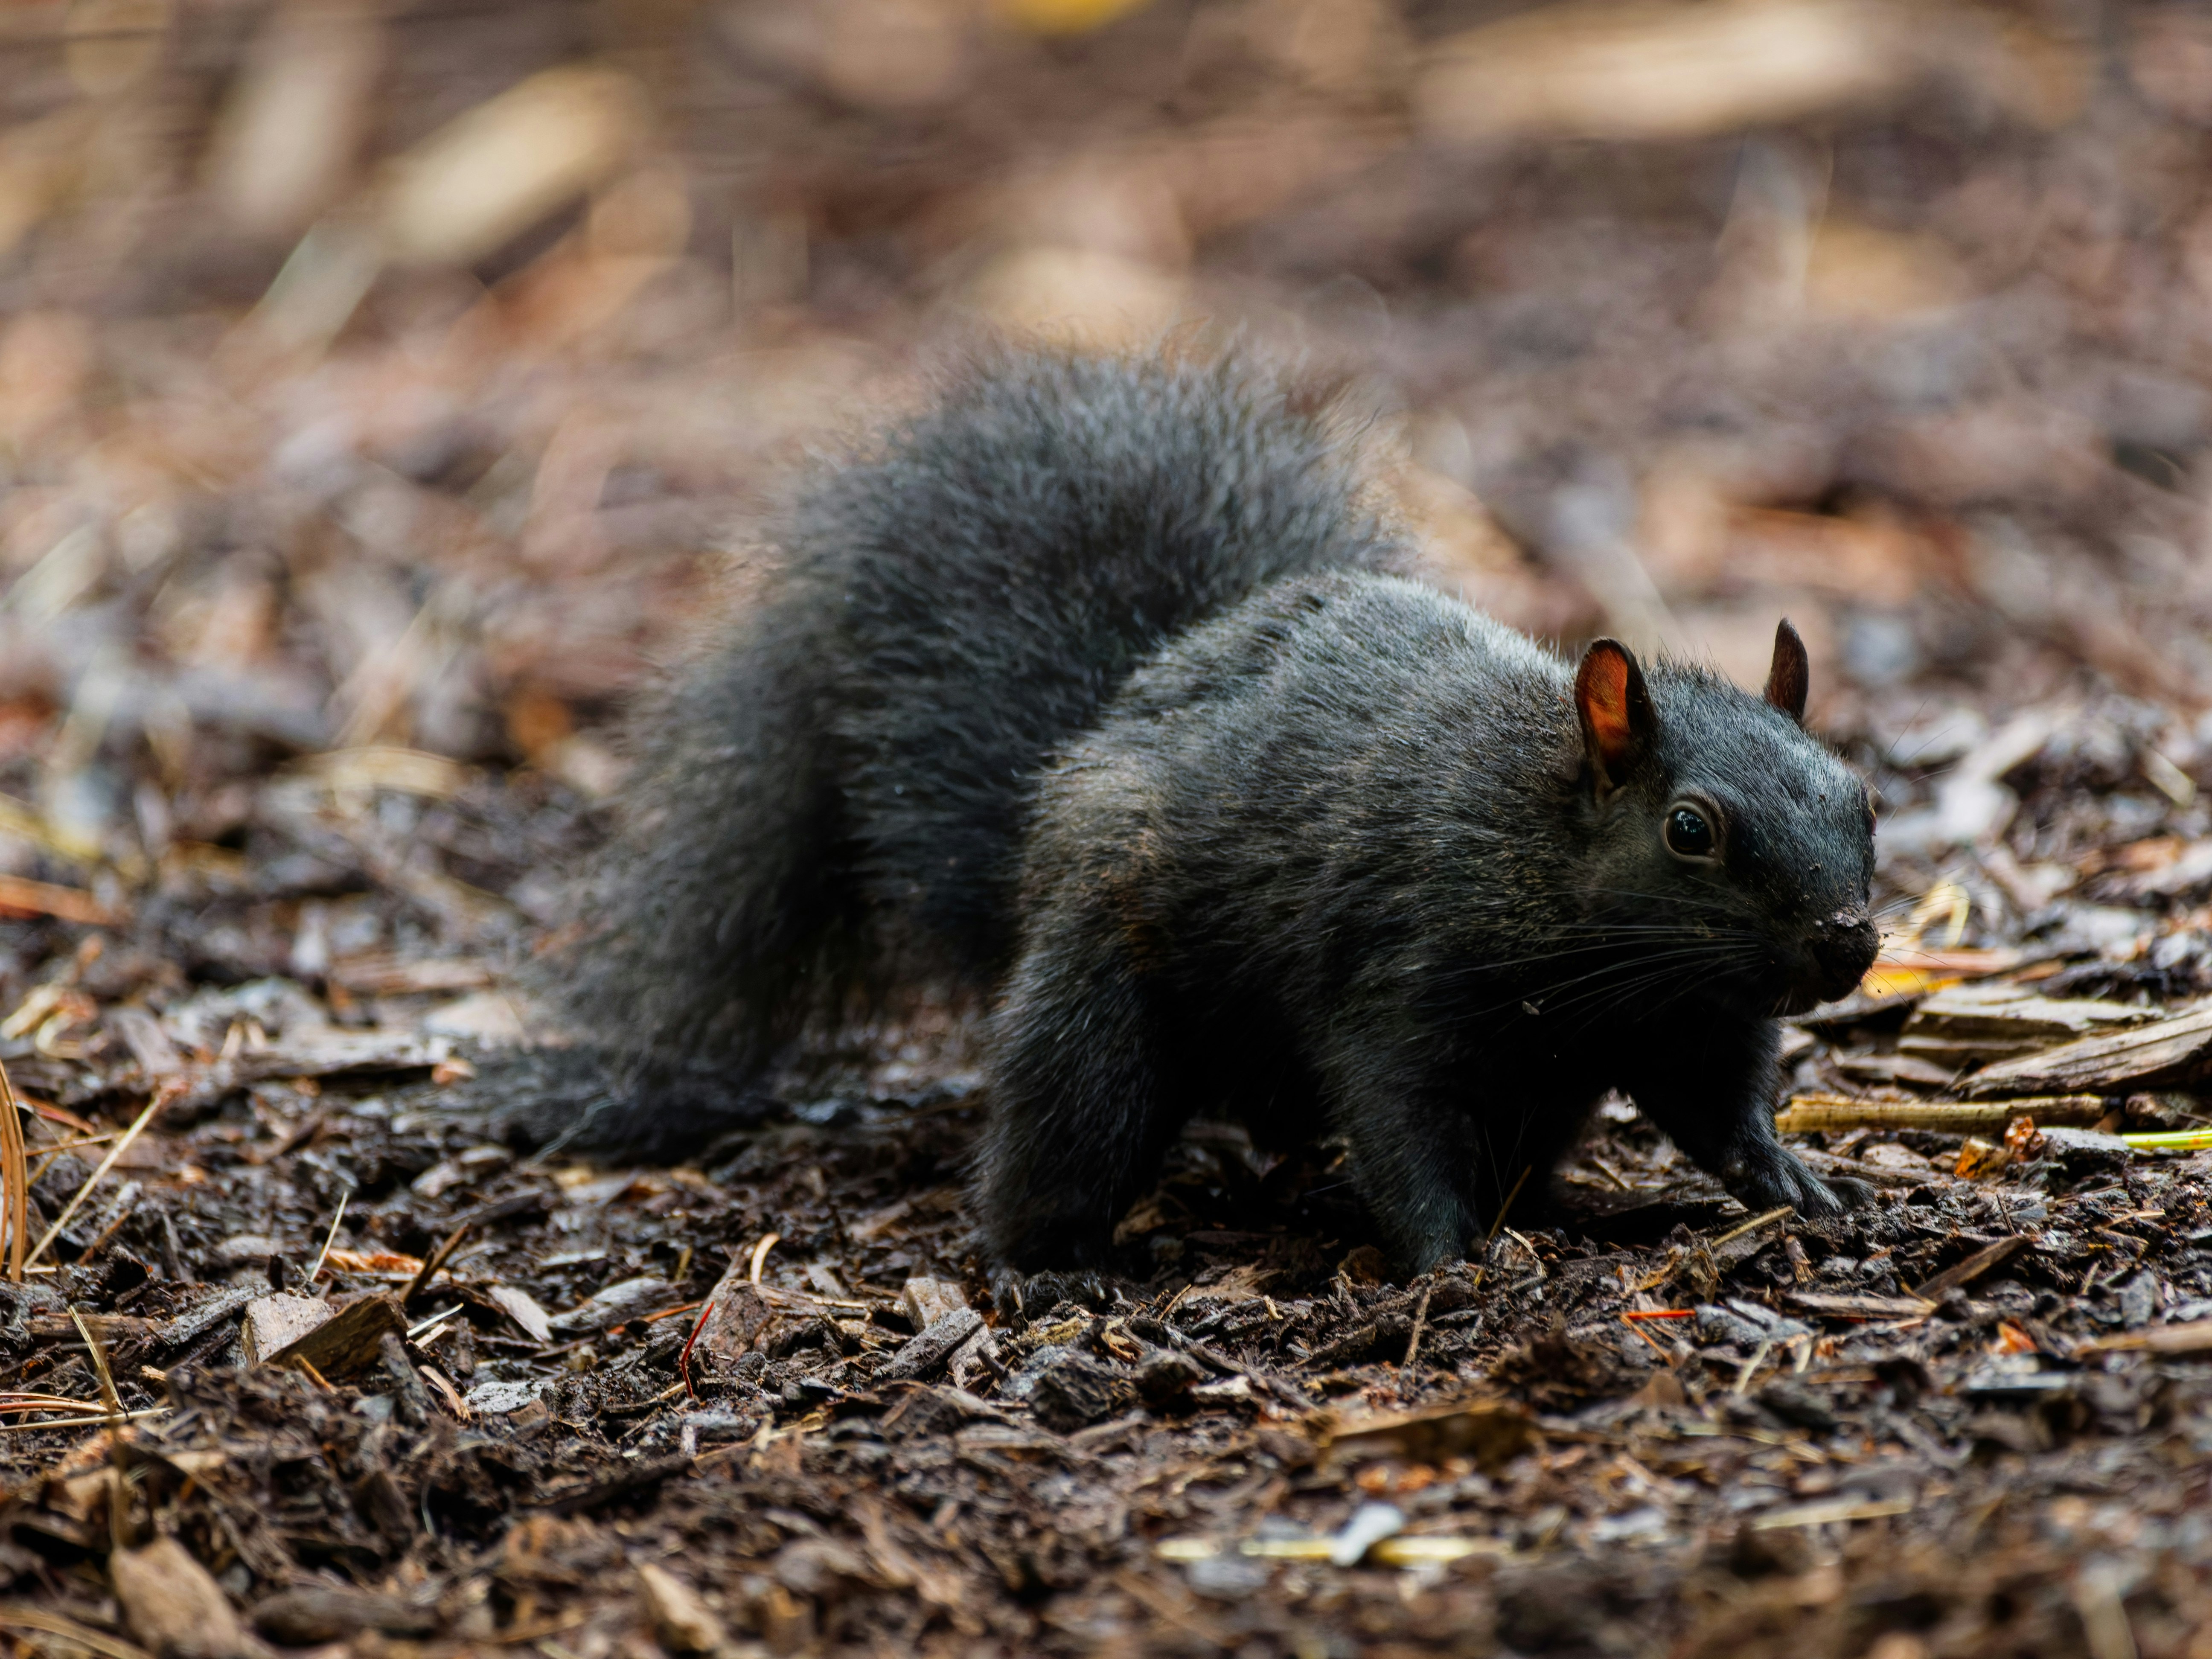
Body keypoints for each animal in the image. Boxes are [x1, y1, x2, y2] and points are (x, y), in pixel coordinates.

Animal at [534, 348, 1880, 1278]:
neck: (1530, 836)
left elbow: (1718, 1108)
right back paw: (1041, 1266)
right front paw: (1450, 1262)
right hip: (1102, 996)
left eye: (1863, 796)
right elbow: (1396, 1124)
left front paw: (1795, 1178)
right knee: (1064, 1121)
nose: (1847, 940)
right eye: (1689, 829)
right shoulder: (1398, 973)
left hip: (1541, 1097)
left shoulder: (1686, 1020)